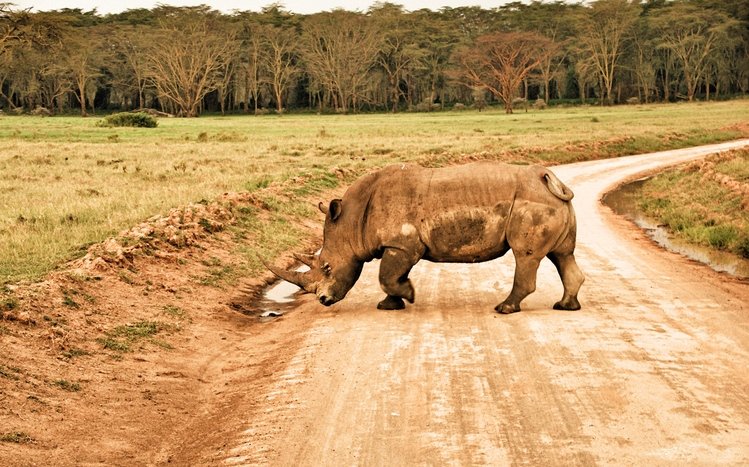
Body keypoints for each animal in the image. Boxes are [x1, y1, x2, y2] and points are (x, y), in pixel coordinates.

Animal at [267, 162, 584, 314]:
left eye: (328, 267)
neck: (352, 221)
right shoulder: (399, 246)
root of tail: (551, 180)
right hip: (551, 203)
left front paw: (409, 295)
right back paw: (565, 306)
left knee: (526, 256)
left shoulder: (402, 244)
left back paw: (505, 309)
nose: (323, 300)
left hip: (532, 205)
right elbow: (391, 277)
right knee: (562, 255)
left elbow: (386, 276)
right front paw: (390, 305)